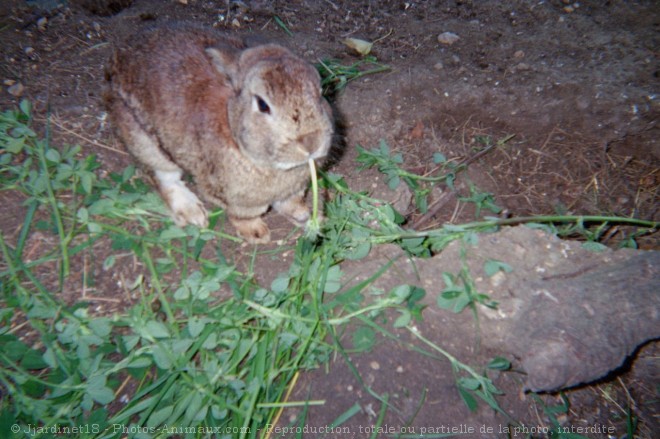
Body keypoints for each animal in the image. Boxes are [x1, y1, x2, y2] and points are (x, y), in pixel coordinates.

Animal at [105, 23, 332, 244]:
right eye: (262, 104)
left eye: (320, 92)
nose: (311, 142)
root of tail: (117, 61)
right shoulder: (232, 196)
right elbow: (244, 215)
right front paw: (256, 233)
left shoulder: (292, 190)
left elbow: (290, 203)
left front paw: (310, 218)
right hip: (146, 142)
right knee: (163, 178)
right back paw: (192, 213)